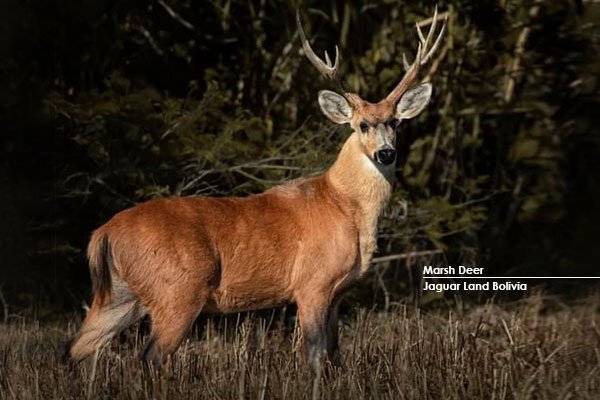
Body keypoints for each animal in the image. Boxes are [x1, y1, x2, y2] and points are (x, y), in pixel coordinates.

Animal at [70, 9, 446, 372]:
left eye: (396, 122)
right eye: (363, 124)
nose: (386, 153)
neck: (344, 205)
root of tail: (103, 232)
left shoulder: (338, 293)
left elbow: (336, 356)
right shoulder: (312, 283)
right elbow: (316, 356)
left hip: (119, 295)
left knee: (74, 351)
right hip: (177, 289)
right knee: (151, 356)